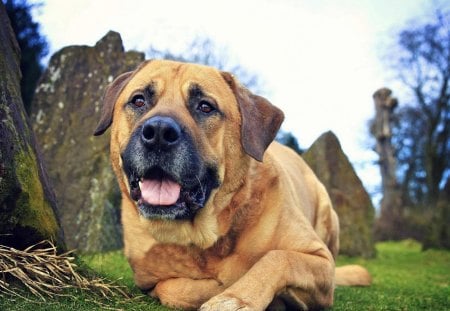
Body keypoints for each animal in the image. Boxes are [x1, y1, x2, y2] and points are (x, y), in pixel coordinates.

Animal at [93, 59, 370, 310]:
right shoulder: (148, 277)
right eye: (139, 100)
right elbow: (174, 288)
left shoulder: (321, 260)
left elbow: (278, 258)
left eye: (205, 107)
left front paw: (237, 298)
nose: (159, 132)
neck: (205, 237)